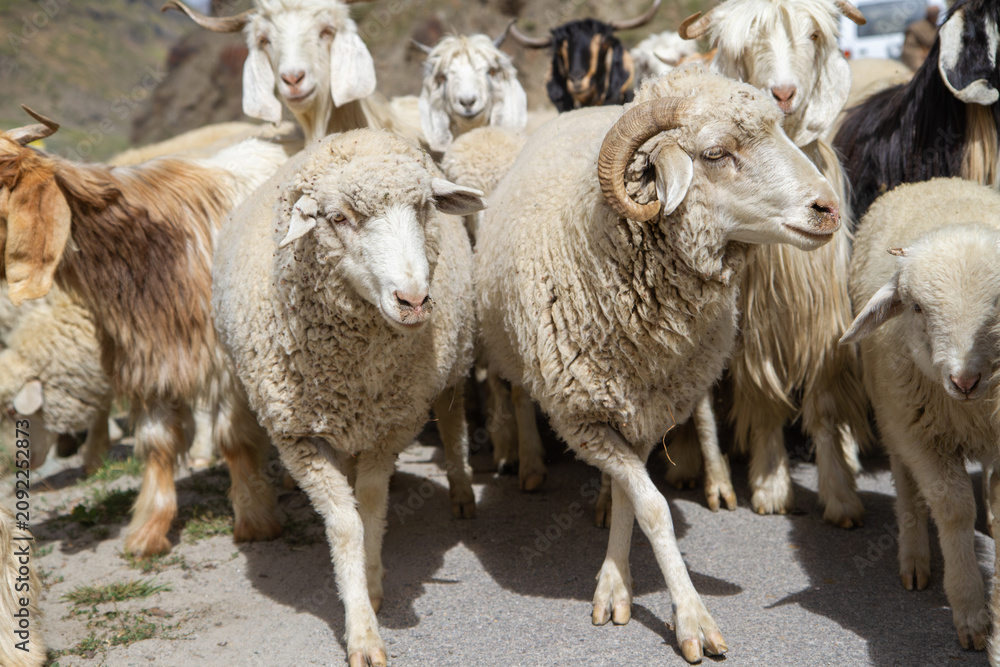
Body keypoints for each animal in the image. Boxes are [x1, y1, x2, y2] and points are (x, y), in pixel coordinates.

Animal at [0, 107, 292, 556]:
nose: (22, 464)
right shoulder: (150, 362)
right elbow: (157, 445)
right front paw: (147, 533)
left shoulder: (226, 365)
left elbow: (234, 439)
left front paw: (255, 521)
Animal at [212, 129, 485, 666]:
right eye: (338, 218)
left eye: (423, 208)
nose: (413, 301)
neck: (355, 375)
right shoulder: (299, 436)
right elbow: (344, 524)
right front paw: (361, 627)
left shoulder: (392, 425)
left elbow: (373, 505)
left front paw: (373, 584)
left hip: (454, 362)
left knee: (451, 419)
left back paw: (463, 490)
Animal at [475, 66, 842, 662]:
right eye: (716, 152)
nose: (828, 209)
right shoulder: (581, 417)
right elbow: (650, 506)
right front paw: (688, 615)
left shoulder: (648, 411)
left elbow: (635, 494)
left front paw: (616, 583)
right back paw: (531, 464)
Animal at [676, 0, 870, 526]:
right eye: (746, 41)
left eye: (813, 34)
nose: (783, 93)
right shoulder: (751, 321)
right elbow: (762, 399)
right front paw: (770, 487)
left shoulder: (821, 312)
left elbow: (826, 402)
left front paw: (841, 495)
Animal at [840, 177, 1000, 660]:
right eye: (916, 308)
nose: (964, 380)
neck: (970, 407)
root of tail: (935, 180)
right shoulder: (921, 439)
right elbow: (953, 509)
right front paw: (971, 612)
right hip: (894, 416)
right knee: (906, 482)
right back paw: (914, 560)